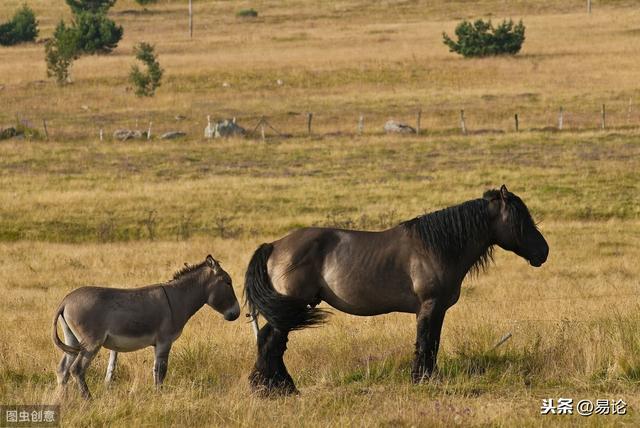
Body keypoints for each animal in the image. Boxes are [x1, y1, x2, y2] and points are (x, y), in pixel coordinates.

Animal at [52, 254, 240, 398]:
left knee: (63, 370)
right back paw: (88, 400)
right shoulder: (165, 342)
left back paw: (62, 400)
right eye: (228, 282)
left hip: (72, 340)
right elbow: (161, 371)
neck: (177, 298)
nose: (236, 313)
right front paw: (160, 396)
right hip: (92, 342)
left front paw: (157, 394)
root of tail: (65, 300)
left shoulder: (157, 344)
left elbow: (155, 371)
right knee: (76, 369)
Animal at [245, 186, 552, 392]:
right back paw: (277, 389)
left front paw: (426, 377)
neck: (435, 248)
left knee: (270, 342)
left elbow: (432, 342)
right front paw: (422, 379)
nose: (544, 252)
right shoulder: (430, 306)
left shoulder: (436, 310)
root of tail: (274, 245)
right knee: (271, 342)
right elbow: (426, 342)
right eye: (520, 219)